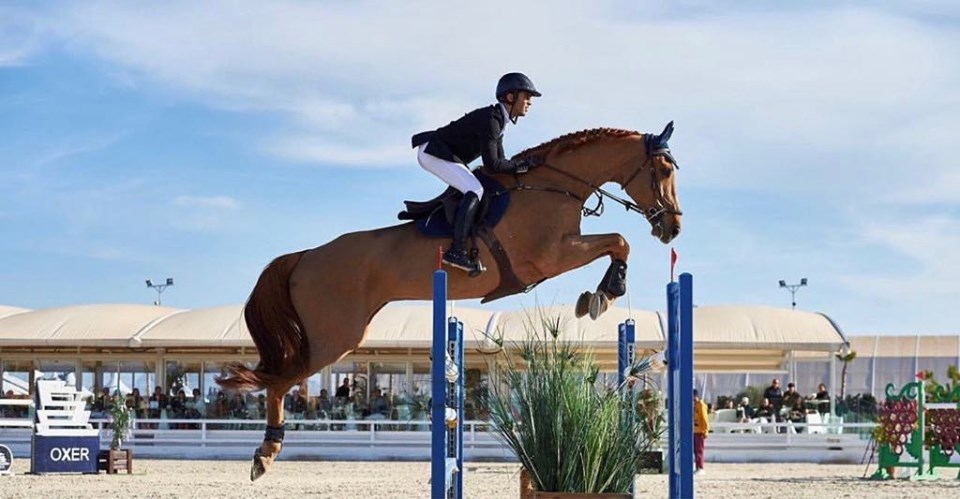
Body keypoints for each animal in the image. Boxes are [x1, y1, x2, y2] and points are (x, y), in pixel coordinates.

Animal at [216, 122, 684, 481]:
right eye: (663, 169)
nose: (673, 228)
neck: (554, 185)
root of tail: (305, 256)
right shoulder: (549, 257)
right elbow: (618, 240)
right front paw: (604, 292)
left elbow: (617, 243)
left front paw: (598, 295)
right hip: (335, 339)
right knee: (278, 382)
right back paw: (265, 455)